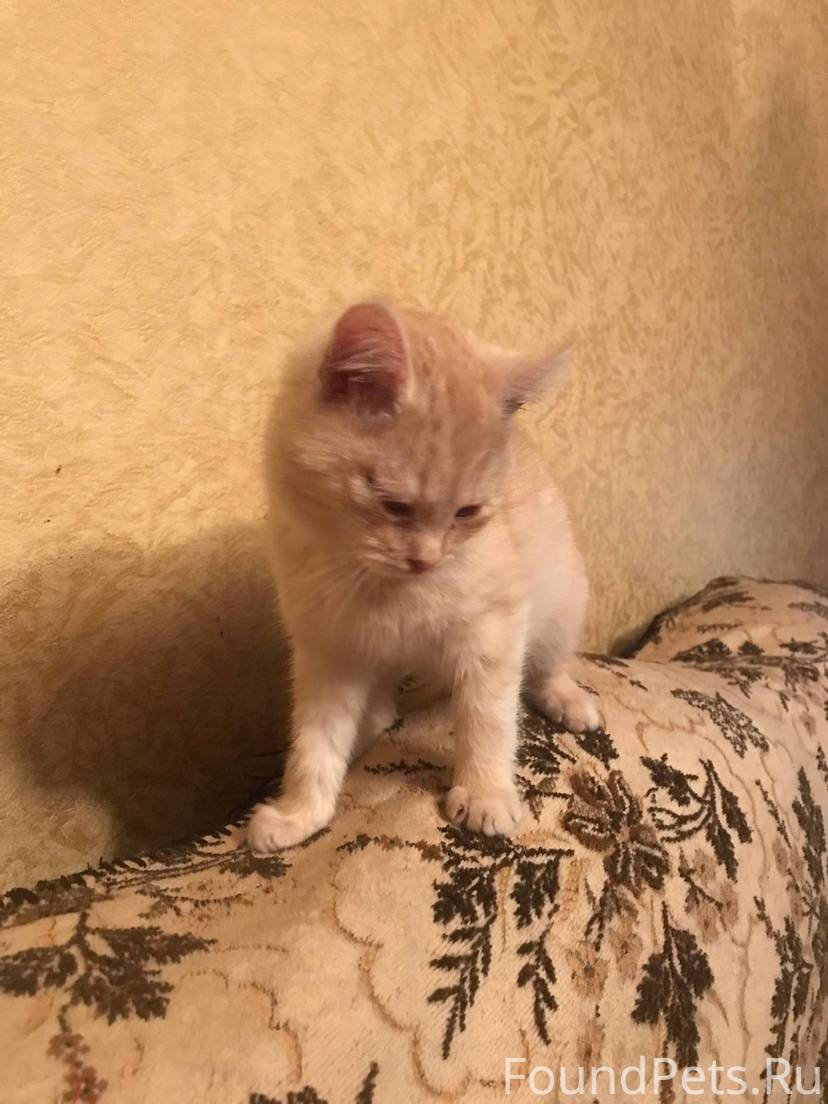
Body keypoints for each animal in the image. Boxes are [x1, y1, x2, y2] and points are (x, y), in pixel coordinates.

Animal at [247, 301, 600, 853]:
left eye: (467, 512)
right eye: (394, 506)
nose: (425, 560)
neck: (386, 588)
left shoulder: (494, 631)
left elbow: (487, 717)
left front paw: (485, 793)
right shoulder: (328, 653)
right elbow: (315, 741)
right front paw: (300, 812)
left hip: (561, 600)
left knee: (548, 665)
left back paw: (567, 699)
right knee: (379, 711)